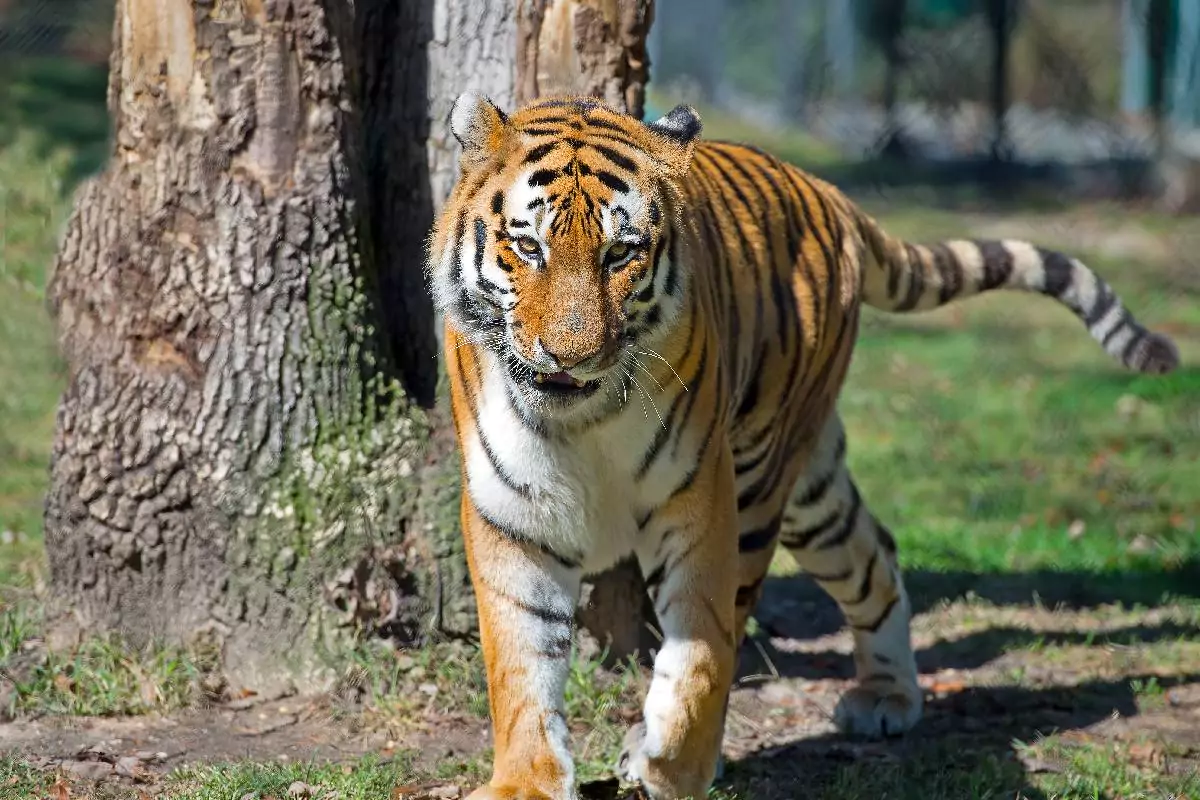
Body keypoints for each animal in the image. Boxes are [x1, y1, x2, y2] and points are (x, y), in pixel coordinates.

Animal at [426, 91, 1180, 800]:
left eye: (622, 252)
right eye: (529, 248)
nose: (572, 357)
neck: (582, 420)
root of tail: (830, 194)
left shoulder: (700, 500)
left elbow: (701, 651)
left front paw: (668, 762)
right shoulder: (512, 516)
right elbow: (519, 663)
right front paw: (527, 782)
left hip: (766, 475)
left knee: (789, 591)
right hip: (816, 492)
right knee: (876, 549)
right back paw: (887, 695)